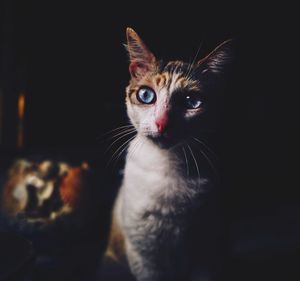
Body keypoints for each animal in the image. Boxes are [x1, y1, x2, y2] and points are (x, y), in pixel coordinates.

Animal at [105, 27, 232, 280]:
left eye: (192, 101)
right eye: (146, 96)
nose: (162, 123)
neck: (168, 169)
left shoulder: (205, 257)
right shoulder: (144, 256)